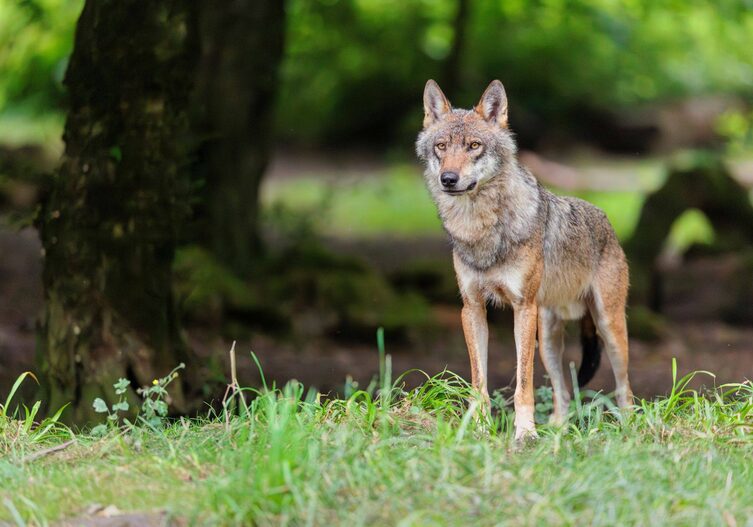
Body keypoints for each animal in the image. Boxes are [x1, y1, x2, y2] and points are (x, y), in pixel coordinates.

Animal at [416, 79, 633, 440]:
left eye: (474, 145)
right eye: (441, 146)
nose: (448, 178)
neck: (481, 228)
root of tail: (606, 221)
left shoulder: (522, 308)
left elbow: (523, 385)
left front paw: (525, 434)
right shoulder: (471, 309)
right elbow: (479, 382)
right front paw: (480, 429)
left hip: (607, 326)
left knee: (624, 388)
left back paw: (629, 429)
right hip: (547, 340)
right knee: (563, 392)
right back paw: (557, 432)